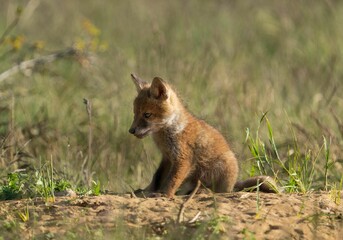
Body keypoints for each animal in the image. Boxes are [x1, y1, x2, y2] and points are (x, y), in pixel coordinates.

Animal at [128, 74, 276, 198]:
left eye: (147, 115)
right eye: (135, 114)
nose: (131, 130)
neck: (168, 132)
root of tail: (233, 185)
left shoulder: (183, 158)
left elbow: (172, 180)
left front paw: (164, 194)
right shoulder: (167, 158)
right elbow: (157, 178)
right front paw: (146, 191)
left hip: (221, 167)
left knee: (218, 192)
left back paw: (203, 191)